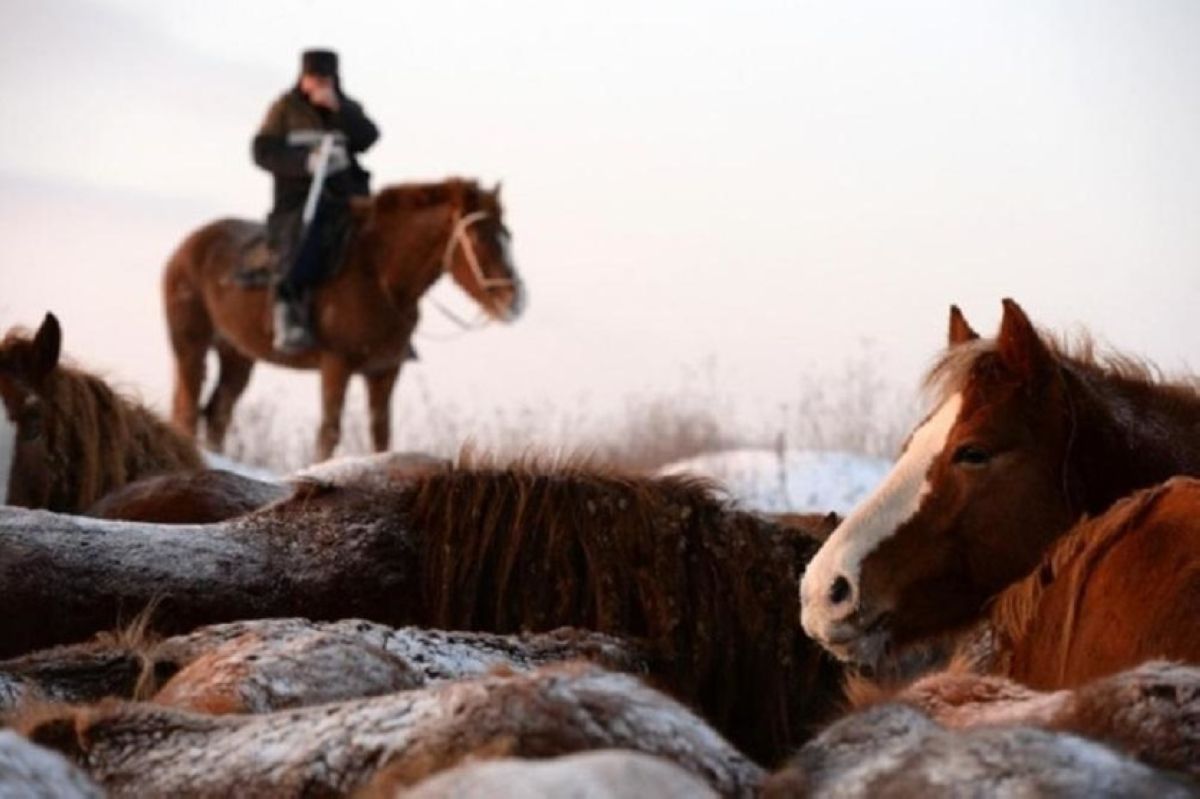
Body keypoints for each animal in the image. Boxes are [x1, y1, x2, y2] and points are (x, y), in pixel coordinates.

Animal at [165, 177, 525, 458]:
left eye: (508, 234)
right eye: (478, 237)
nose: (515, 299)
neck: (378, 275)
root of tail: (185, 248)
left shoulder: (384, 371)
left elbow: (381, 436)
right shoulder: (336, 364)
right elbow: (329, 432)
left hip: (237, 355)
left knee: (218, 413)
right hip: (191, 347)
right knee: (187, 410)